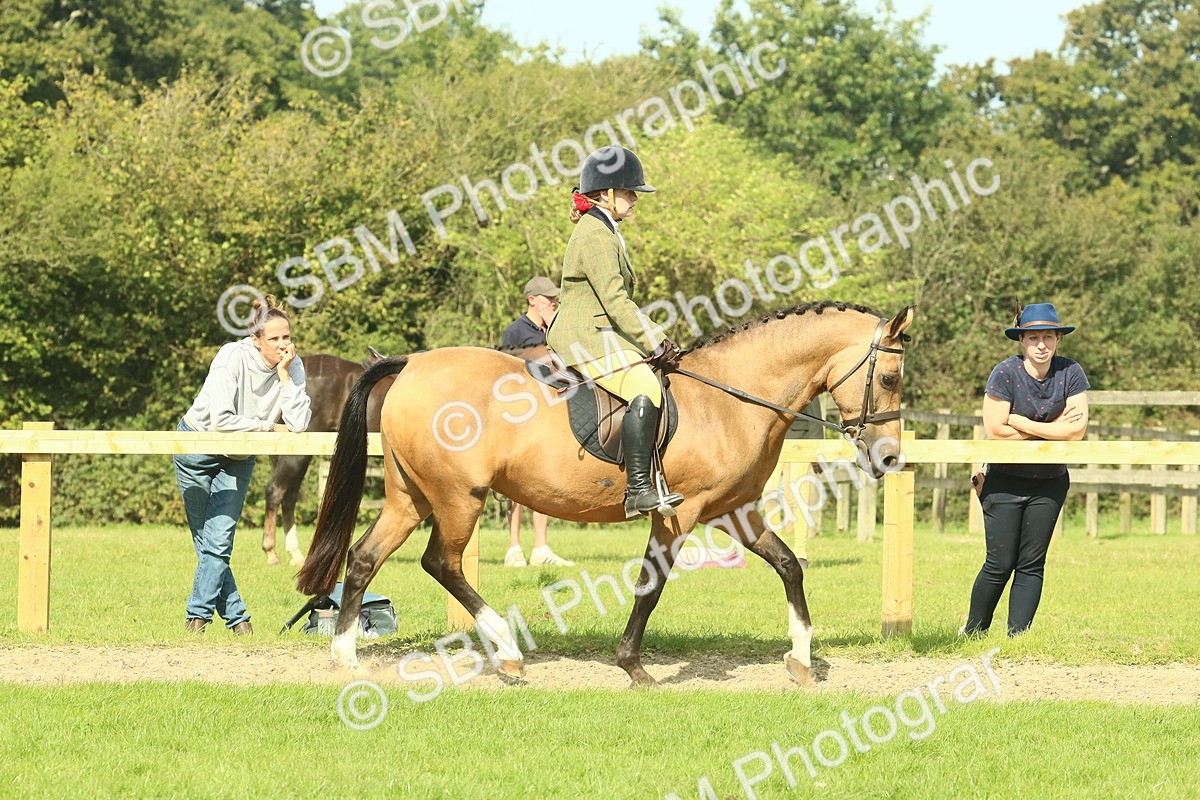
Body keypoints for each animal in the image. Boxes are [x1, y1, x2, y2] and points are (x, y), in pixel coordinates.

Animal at [296, 301, 913, 687]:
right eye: (889, 379)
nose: (888, 458)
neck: (731, 399)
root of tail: (411, 364)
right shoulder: (680, 514)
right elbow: (651, 584)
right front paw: (633, 666)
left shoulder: (734, 511)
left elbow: (790, 566)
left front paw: (802, 659)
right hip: (458, 497)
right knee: (442, 563)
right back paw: (509, 654)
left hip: (411, 497)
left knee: (365, 557)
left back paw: (347, 657)